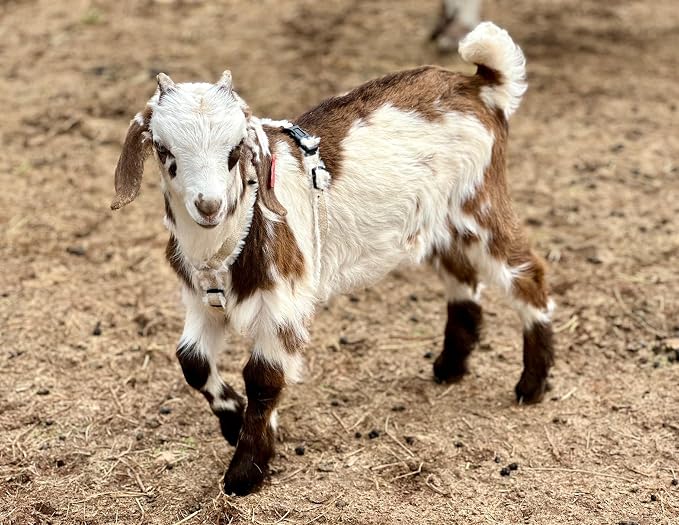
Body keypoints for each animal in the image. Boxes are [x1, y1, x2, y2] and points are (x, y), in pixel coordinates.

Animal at [111, 22, 555, 495]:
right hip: (441, 222)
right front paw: (233, 421)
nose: (209, 206)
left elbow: (264, 378)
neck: (225, 243)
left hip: (480, 203)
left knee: (527, 273)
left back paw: (532, 383)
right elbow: (192, 362)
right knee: (463, 278)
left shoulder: (282, 303)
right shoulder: (201, 300)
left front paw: (245, 471)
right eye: (164, 150)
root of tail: (480, 86)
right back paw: (450, 367)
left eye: (235, 150)